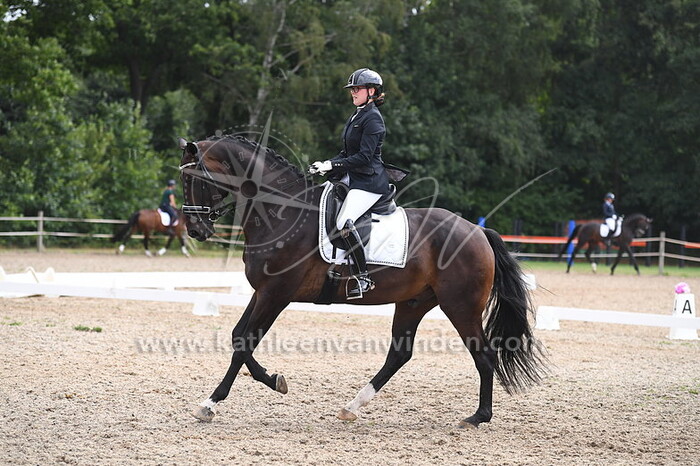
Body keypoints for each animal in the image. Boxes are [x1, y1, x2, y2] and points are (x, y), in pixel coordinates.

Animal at [176, 134, 546, 428]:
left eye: (191, 180)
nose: (196, 231)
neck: (281, 213)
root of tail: (478, 232)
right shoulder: (263, 291)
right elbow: (238, 337)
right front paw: (271, 381)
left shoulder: (276, 293)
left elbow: (245, 344)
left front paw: (212, 403)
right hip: (414, 302)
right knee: (400, 354)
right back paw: (352, 407)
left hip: (461, 306)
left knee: (484, 355)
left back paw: (478, 417)